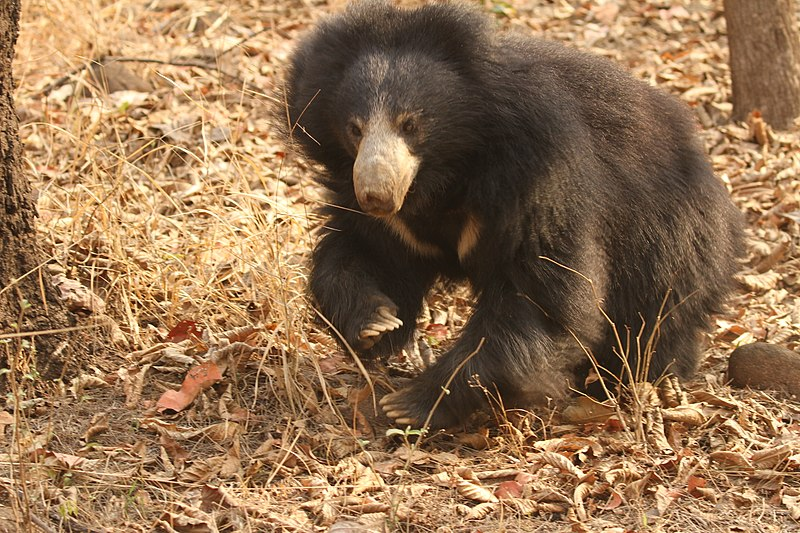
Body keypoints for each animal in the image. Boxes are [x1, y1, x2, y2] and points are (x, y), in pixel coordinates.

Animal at [282, 1, 744, 428]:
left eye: (410, 124)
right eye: (355, 128)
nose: (376, 194)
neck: (446, 173)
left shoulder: (536, 179)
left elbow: (539, 294)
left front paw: (411, 404)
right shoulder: (395, 220)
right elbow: (370, 254)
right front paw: (376, 322)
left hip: (672, 235)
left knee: (656, 316)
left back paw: (638, 378)